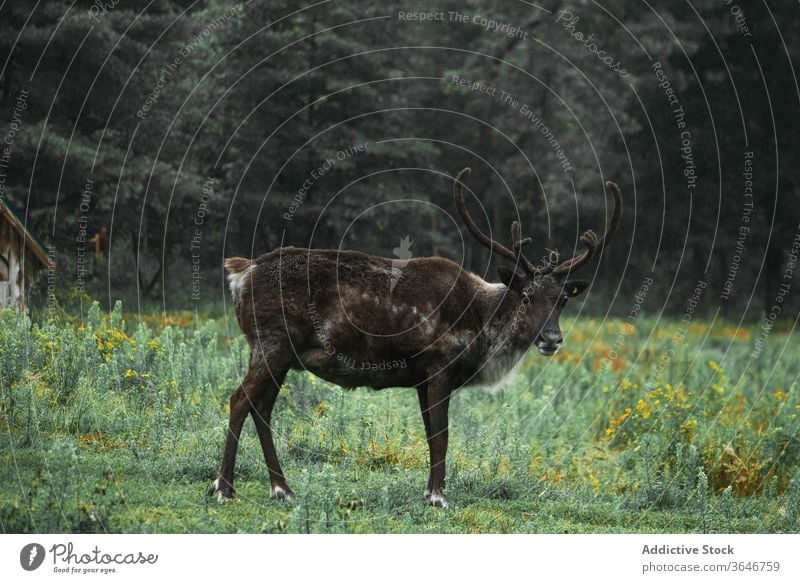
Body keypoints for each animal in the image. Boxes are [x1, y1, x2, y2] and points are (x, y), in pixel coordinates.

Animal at [209, 167, 620, 508]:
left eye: (563, 299)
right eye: (528, 295)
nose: (552, 338)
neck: (483, 324)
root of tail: (240, 273)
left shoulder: (421, 378)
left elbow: (430, 435)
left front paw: (429, 491)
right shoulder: (439, 366)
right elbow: (443, 435)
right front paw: (439, 497)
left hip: (280, 354)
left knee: (262, 406)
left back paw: (282, 488)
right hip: (272, 342)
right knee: (239, 399)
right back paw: (225, 488)